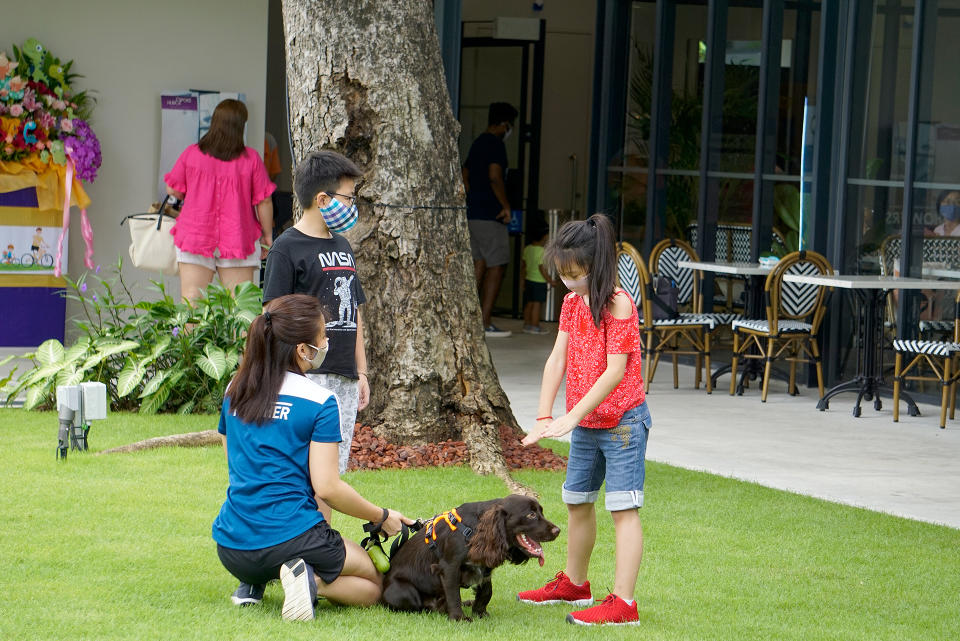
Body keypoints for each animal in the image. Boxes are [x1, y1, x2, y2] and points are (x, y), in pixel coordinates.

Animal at [382, 496, 564, 620]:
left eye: (541, 511)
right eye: (531, 515)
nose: (558, 531)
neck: (474, 530)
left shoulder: (485, 566)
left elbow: (486, 591)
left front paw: (480, 612)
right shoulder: (449, 567)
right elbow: (454, 594)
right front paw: (459, 618)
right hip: (403, 591)